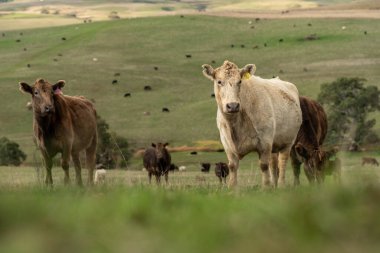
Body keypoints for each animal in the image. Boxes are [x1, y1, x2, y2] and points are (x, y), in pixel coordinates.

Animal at [200, 60, 302, 188]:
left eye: (239, 81)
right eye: (219, 81)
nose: (232, 105)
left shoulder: (265, 141)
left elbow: (264, 165)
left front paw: (266, 187)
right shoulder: (227, 143)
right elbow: (232, 166)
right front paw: (232, 187)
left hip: (287, 142)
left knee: (282, 162)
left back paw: (281, 185)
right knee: (273, 164)